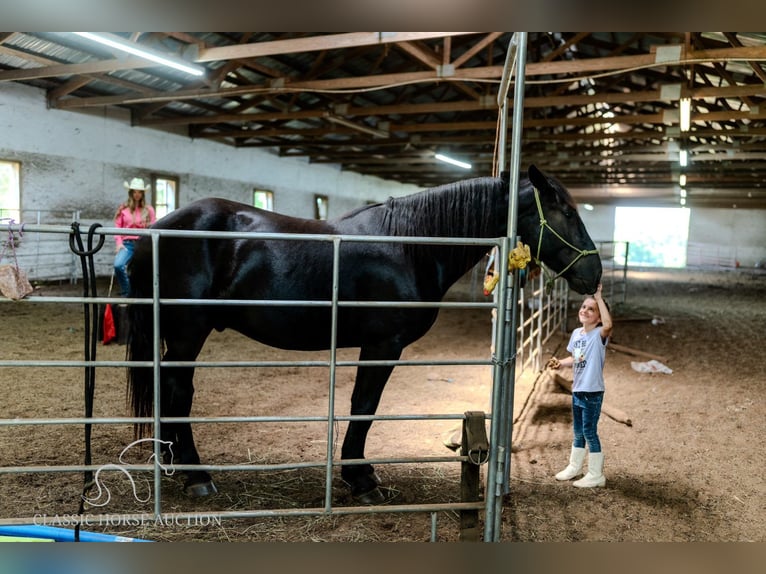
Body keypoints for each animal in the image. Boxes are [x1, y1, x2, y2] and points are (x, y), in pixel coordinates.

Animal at [127, 165, 608, 504]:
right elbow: (364, 406)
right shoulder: (381, 345)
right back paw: (195, 476)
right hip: (188, 333)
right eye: (566, 211)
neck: (411, 245)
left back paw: (171, 462)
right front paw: (360, 478)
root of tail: (156, 231)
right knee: (178, 391)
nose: (594, 273)